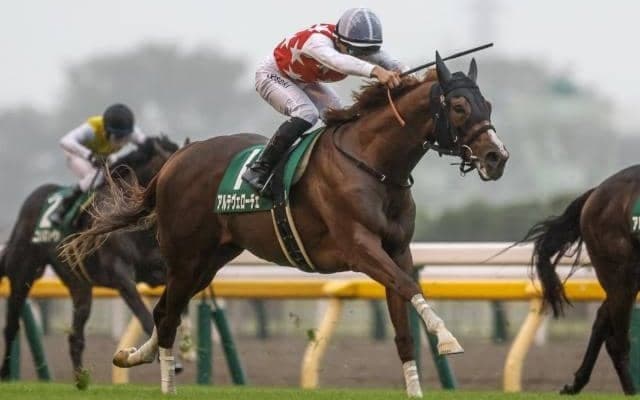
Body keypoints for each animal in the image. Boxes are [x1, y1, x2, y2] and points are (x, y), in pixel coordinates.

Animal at [0, 135, 179, 387]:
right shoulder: (121, 277)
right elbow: (144, 316)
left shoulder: (156, 272)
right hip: (21, 274)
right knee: (11, 326)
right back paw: (6, 374)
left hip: (79, 285)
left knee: (75, 337)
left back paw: (81, 380)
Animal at [65, 53, 509, 395]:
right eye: (459, 107)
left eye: (487, 105)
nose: (496, 157)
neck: (373, 165)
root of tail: (175, 161)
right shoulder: (359, 247)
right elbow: (410, 286)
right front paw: (448, 338)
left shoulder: (398, 249)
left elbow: (403, 324)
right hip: (184, 256)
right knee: (169, 315)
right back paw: (165, 384)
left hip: (209, 260)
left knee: (163, 311)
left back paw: (132, 355)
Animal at [523, 165, 640, 395]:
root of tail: (596, 192)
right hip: (621, 273)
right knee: (617, 341)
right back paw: (631, 391)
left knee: (602, 319)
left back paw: (576, 384)